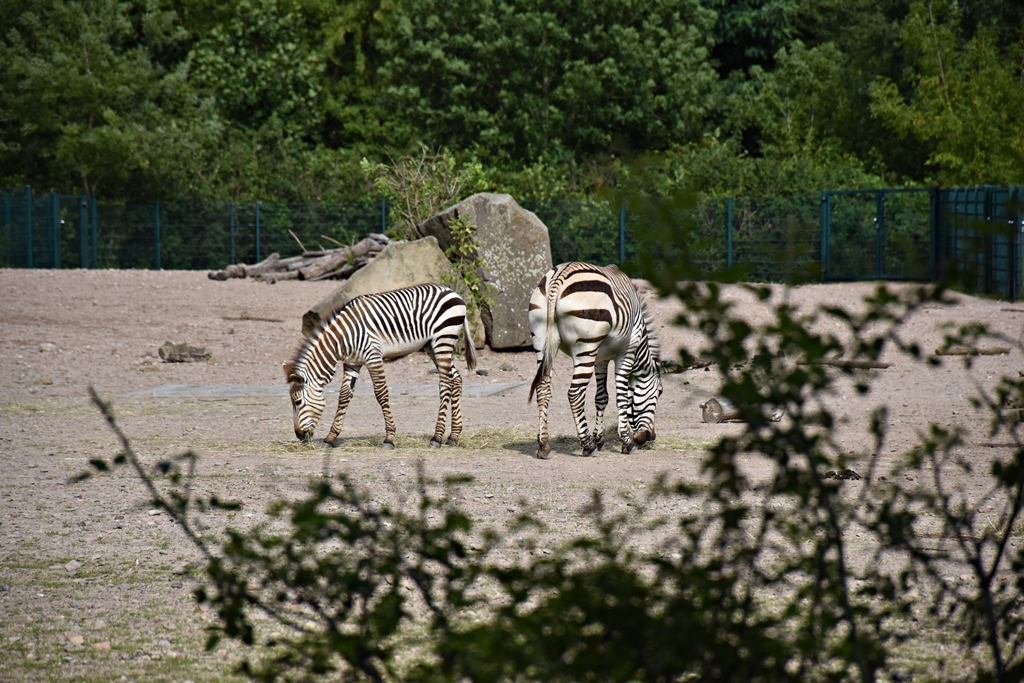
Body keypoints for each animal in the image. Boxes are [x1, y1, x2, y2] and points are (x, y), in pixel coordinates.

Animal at [284, 283, 477, 448]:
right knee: (456, 379)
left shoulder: (373, 356)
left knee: (445, 384)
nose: (299, 435)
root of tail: (453, 292)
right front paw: (330, 438)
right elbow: (344, 396)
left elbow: (381, 394)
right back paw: (453, 436)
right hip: (431, 346)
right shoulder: (352, 363)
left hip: (443, 340)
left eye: (298, 402)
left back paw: (436, 437)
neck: (343, 338)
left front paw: (389, 438)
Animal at [528, 262, 662, 459]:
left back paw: (544, 445)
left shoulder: (601, 359)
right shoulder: (627, 352)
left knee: (543, 389)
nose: (650, 437)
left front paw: (599, 439)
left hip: (541, 340)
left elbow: (602, 397)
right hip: (586, 346)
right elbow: (622, 397)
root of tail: (559, 277)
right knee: (575, 394)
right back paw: (587, 445)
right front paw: (626, 442)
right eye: (659, 392)